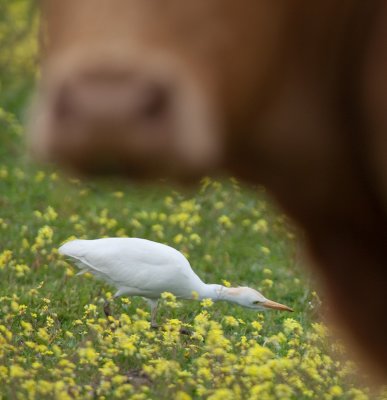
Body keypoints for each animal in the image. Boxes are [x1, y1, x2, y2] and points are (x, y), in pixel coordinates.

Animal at [29, 0, 387, 376]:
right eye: (257, 301)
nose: (283, 309)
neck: (188, 281)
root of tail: (71, 245)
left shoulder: (154, 298)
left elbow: (155, 323)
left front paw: (187, 334)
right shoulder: (133, 287)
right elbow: (112, 306)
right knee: (106, 304)